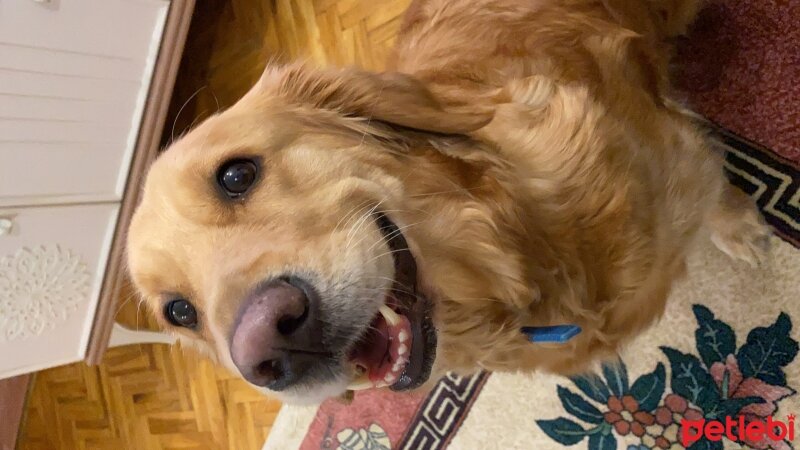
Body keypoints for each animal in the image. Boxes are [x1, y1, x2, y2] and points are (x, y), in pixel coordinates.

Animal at [125, 0, 768, 402]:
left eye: (236, 174)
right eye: (179, 312)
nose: (269, 342)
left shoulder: (680, 153)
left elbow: (715, 192)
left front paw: (741, 229)